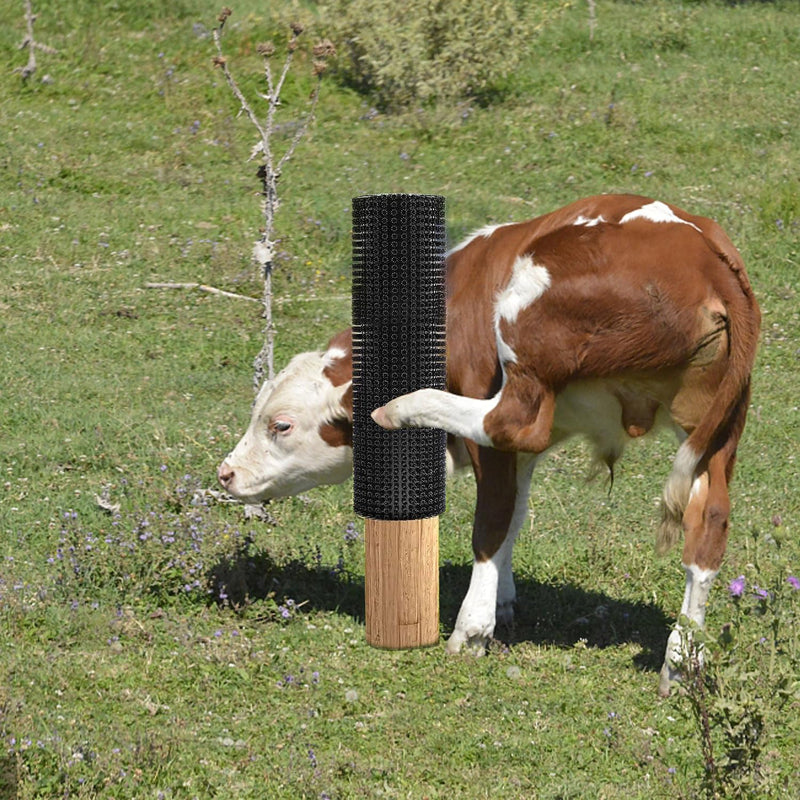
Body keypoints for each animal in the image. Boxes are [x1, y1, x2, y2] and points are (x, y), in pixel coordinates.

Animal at [218, 194, 760, 695]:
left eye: (281, 425)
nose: (226, 473)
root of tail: (707, 256)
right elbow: (514, 515)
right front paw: (503, 599)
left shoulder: (493, 430)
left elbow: (493, 522)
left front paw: (474, 627)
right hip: (716, 431)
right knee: (709, 522)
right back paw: (681, 660)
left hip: (524, 314)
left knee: (509, 421)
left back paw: (404, 405)